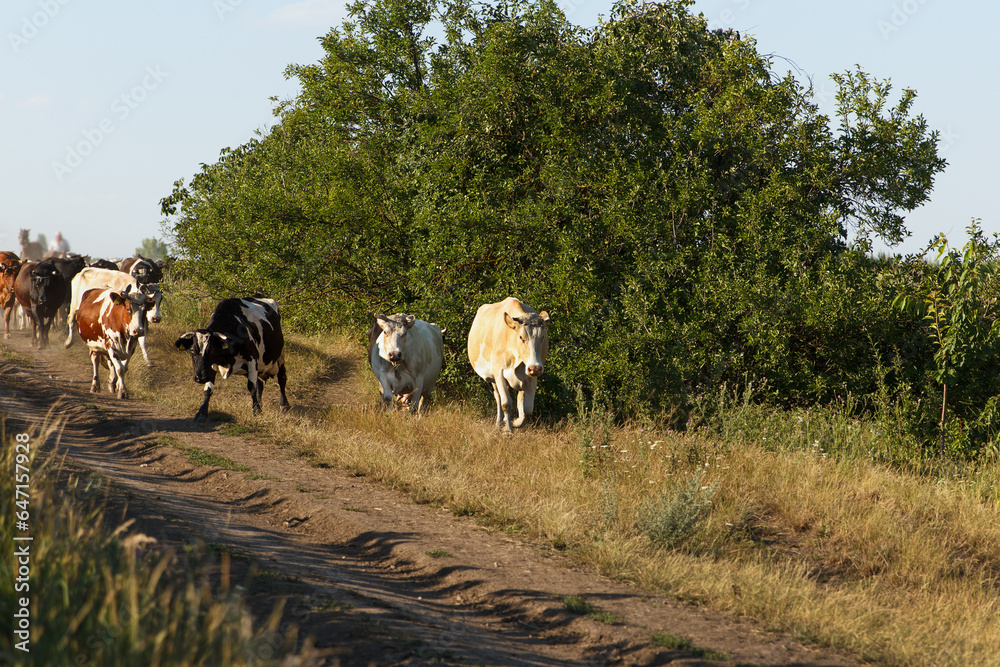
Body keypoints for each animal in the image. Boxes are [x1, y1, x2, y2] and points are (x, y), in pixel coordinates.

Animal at [467, 297, 551, 434]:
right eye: (521, 337)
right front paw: (507, 429)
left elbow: (527, 409)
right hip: (493, 378)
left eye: (542, 337)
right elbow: (506, 403)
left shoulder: (531, 378)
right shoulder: (499, 372)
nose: (535, 368)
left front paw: (515, 422)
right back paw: (499, 422)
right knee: (498, 397)